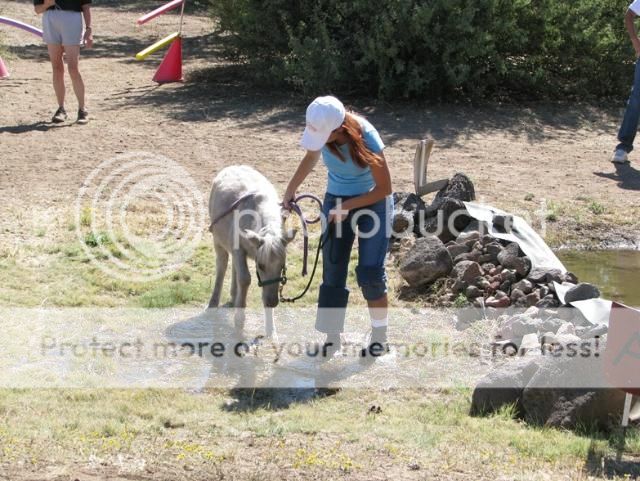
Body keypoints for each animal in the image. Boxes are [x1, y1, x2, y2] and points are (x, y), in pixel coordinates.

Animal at [209, 167, 296, 336]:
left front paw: (271, 329)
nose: (272, 301)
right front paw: (239, 319)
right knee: (222, 266)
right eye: (260, 266)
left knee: (234, 268)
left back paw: (234, 296)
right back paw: (213, 303)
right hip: (218, 241)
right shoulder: (238, 249)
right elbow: (245, 279)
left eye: (282, 266)